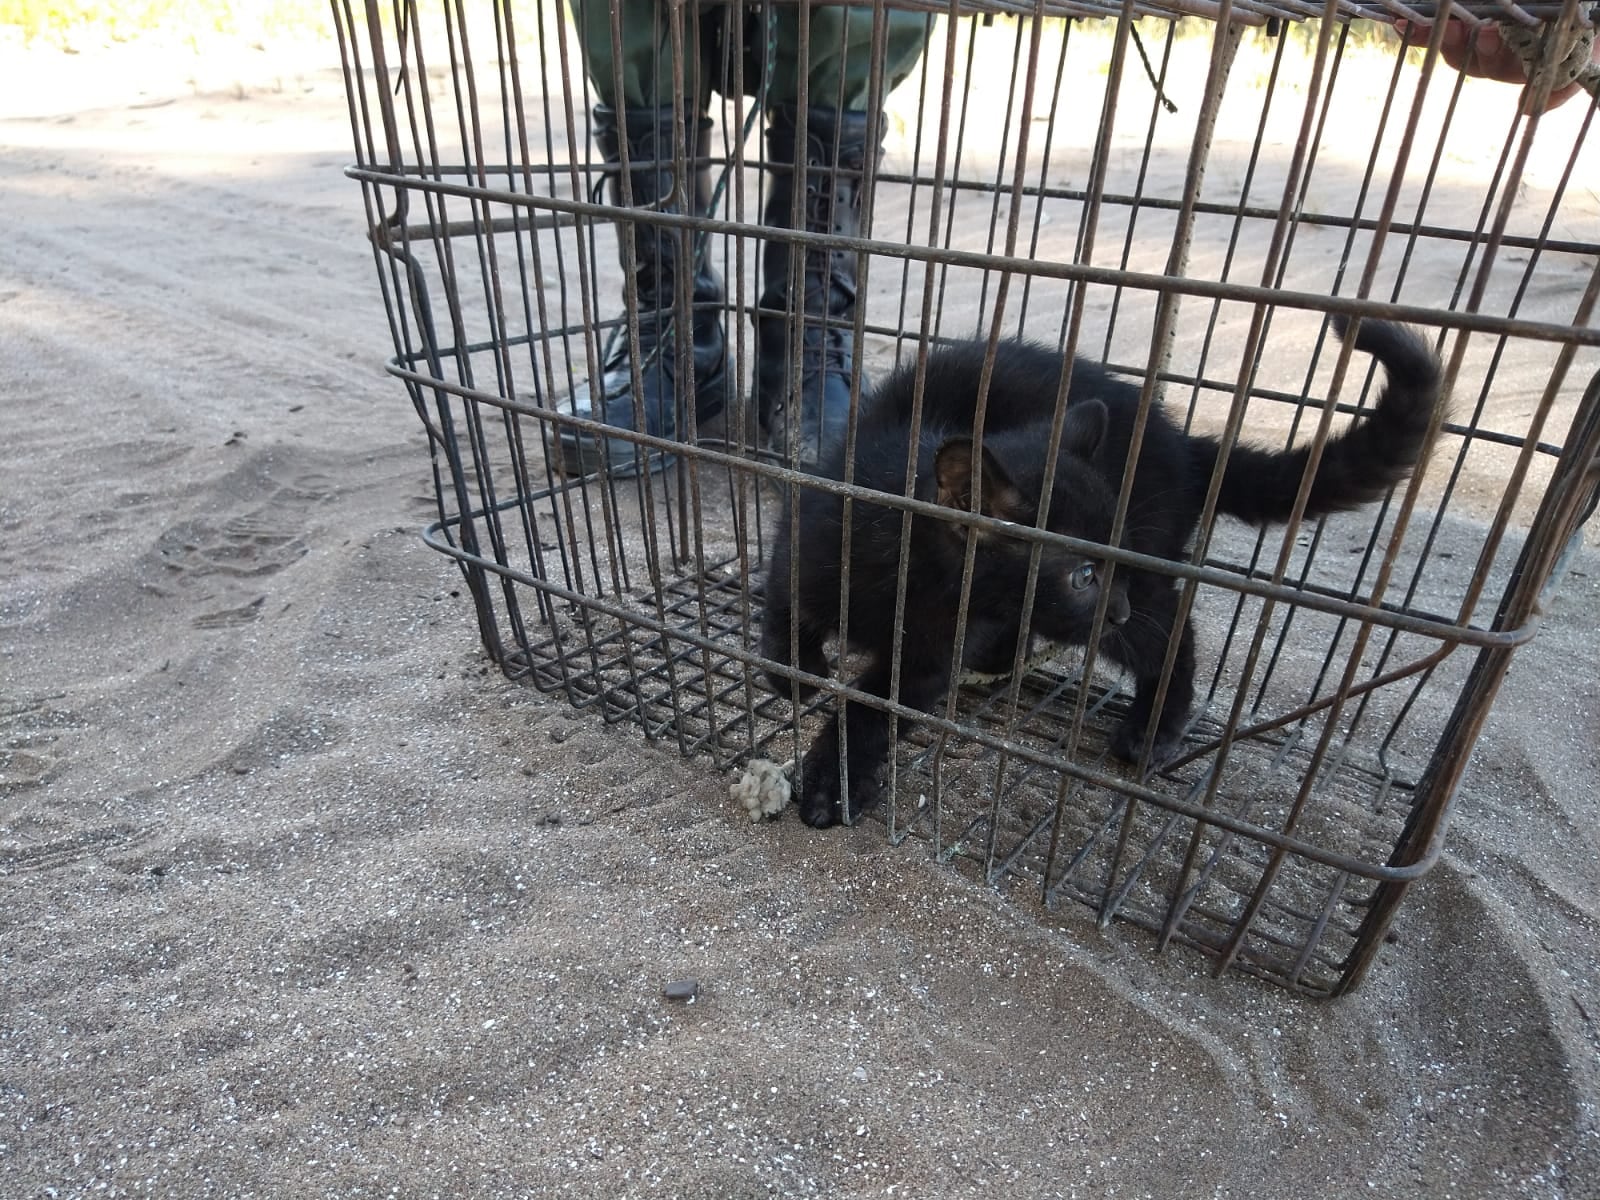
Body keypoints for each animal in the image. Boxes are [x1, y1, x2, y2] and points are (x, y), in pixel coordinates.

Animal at [755, 316, 1446, 825]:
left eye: (1105, 567)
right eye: (1083, 575)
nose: (1113, 605)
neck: (906, 572)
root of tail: (1184, 447)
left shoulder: (927, 655)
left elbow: (873, 708)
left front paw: (834, 782)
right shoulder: (806, 534)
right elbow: (782, 609)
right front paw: (795, 673)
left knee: (1171, 633)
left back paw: (1153, 727)